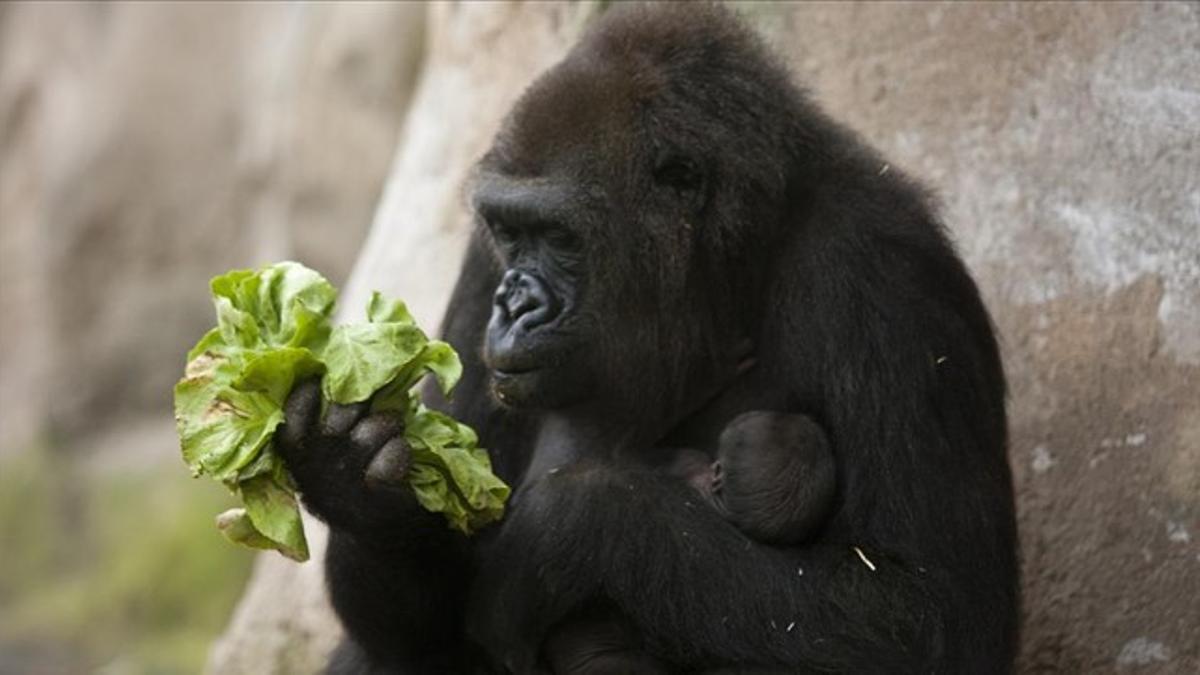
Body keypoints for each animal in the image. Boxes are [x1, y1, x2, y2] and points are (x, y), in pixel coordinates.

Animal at [276, 5, 1017, 672]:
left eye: (560, 237)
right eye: (510, 232)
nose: (511, 306)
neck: (727, 267)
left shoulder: (884, 263)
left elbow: (925, 615)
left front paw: (569, 526)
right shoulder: (483, 264)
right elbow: (419, 624)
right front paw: (350, 476)